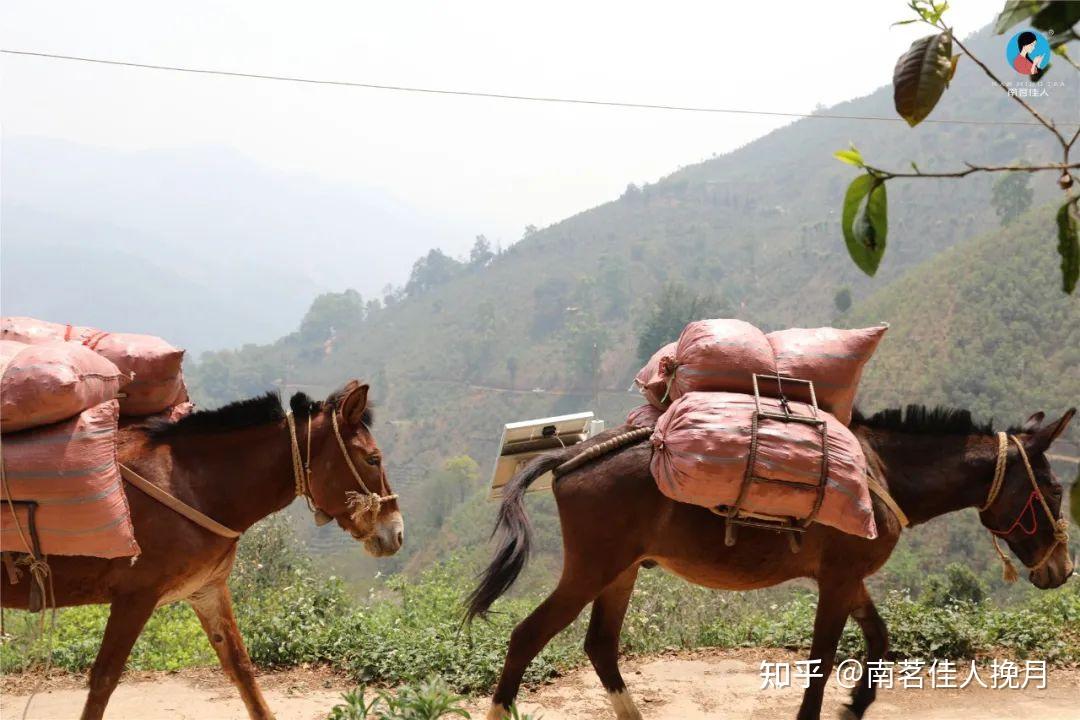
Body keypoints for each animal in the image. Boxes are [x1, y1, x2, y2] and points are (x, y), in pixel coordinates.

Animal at [2, 379, 403, 716]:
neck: (189, 485)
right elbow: (103, 680)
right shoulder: (135, 596)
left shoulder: (207, 589)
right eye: (373, 459)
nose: (397, 533)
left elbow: (241, 667)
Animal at [466, 405, 1071, 720]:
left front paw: (857, 705)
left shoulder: (849, 579)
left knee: (600, 646)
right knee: (527, 636)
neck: (880, 473)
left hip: (622, 571)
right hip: (591, 569)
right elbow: (823, 659)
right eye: (1055, 490)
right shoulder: (838, 581)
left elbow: (879, 642)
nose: (1063, 571)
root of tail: (570, 454)